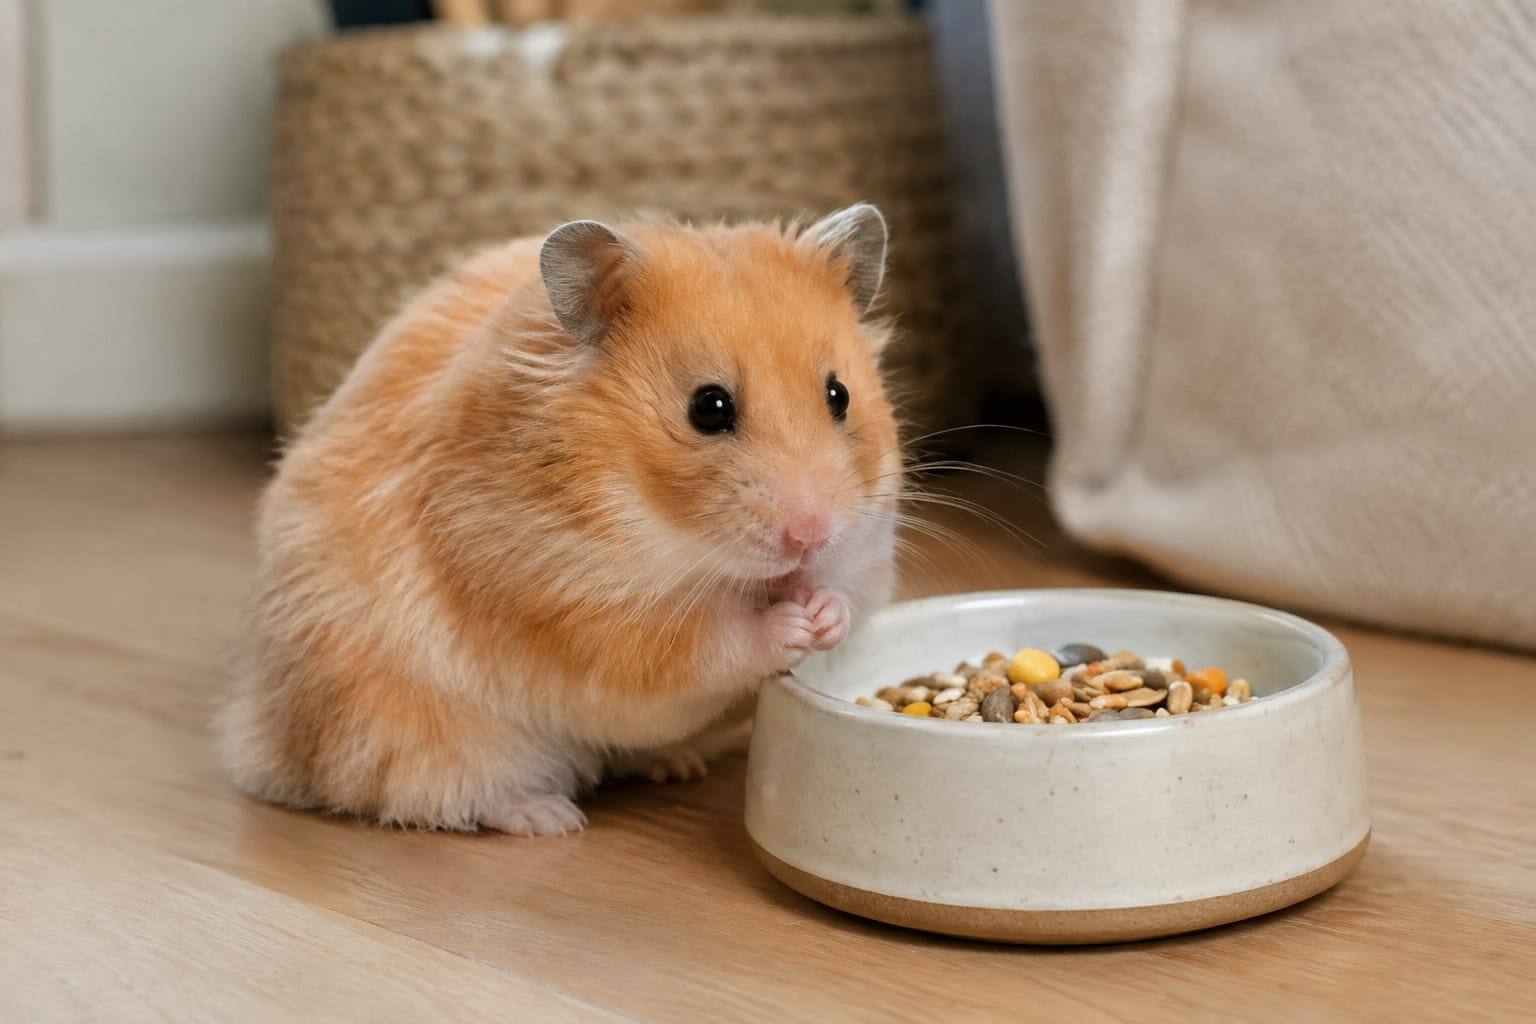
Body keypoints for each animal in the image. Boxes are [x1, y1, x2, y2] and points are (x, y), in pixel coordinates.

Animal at [219, 204, 902, 835]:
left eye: (839, 395)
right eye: (708, 408)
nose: (809, 537)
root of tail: (264, 744)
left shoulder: (868, 543)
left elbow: (853, 590)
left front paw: (824, 614)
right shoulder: (569, 610)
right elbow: (705, 646)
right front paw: (792, 624)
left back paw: (675, 764)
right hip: (407, 730)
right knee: (446, 794)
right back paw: (548, 818)